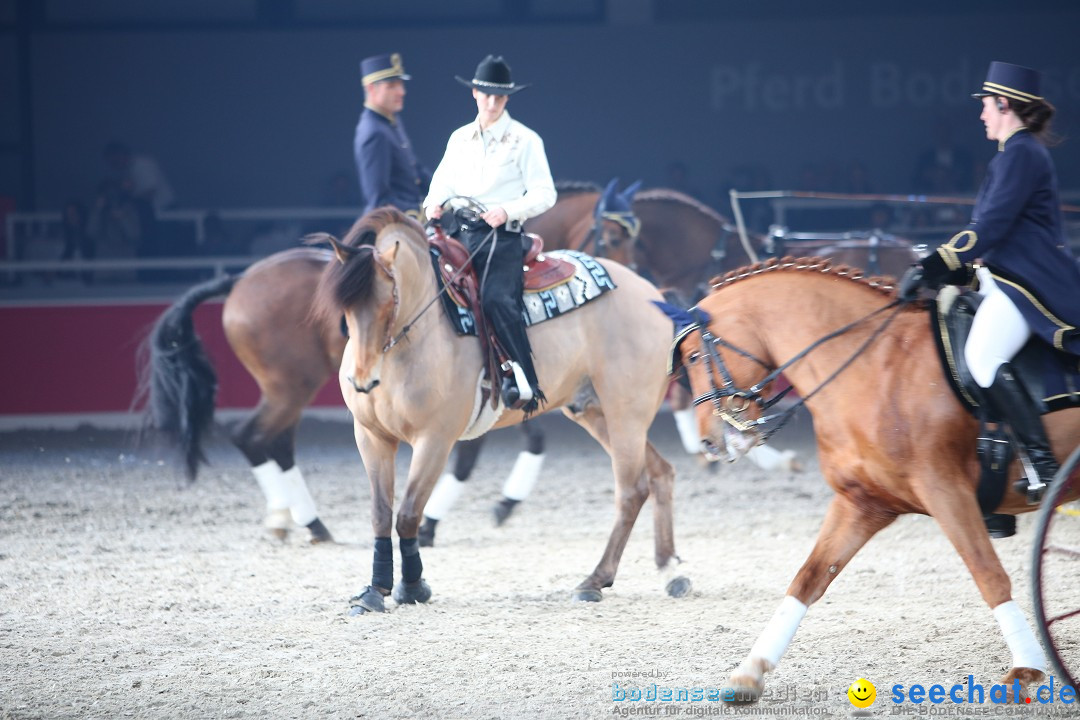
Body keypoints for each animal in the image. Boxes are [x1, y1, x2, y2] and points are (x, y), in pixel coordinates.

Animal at [308, 208, 686, 613]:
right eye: (346, 306)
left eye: (389, 300)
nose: (362, 380)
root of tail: (652, 295)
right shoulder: (371, 437)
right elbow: (381, 513)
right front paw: (374, 590)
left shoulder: (435, 440)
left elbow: (408, 513)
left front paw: (412, 587)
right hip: (595, 413)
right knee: (660, 474)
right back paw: (670, 570)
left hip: (626, 413)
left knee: (631, 490)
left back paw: (595, 580)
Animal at [665, 257, 1080, 703]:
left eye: (694, 356)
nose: (709, 442)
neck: (876, 369)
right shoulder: (863, 504)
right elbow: (808, 579)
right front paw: (749, 673)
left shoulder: (946, 491)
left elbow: (988, 574)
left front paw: (1027, 668)